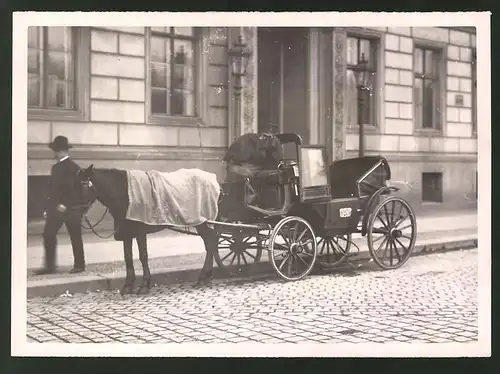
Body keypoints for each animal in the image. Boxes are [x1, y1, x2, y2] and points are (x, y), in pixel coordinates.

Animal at [75, 164, 218, 296]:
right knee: (211, 244)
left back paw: (203, 276)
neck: (125, 192)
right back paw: (206, 276)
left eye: (82, 185)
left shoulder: (140, 231)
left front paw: (144, 285)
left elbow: (143, 256)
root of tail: (214, 180)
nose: (75, 212)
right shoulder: (126, 232)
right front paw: (128, 285)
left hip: (203, 223)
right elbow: (127, 257)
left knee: (210, 244)